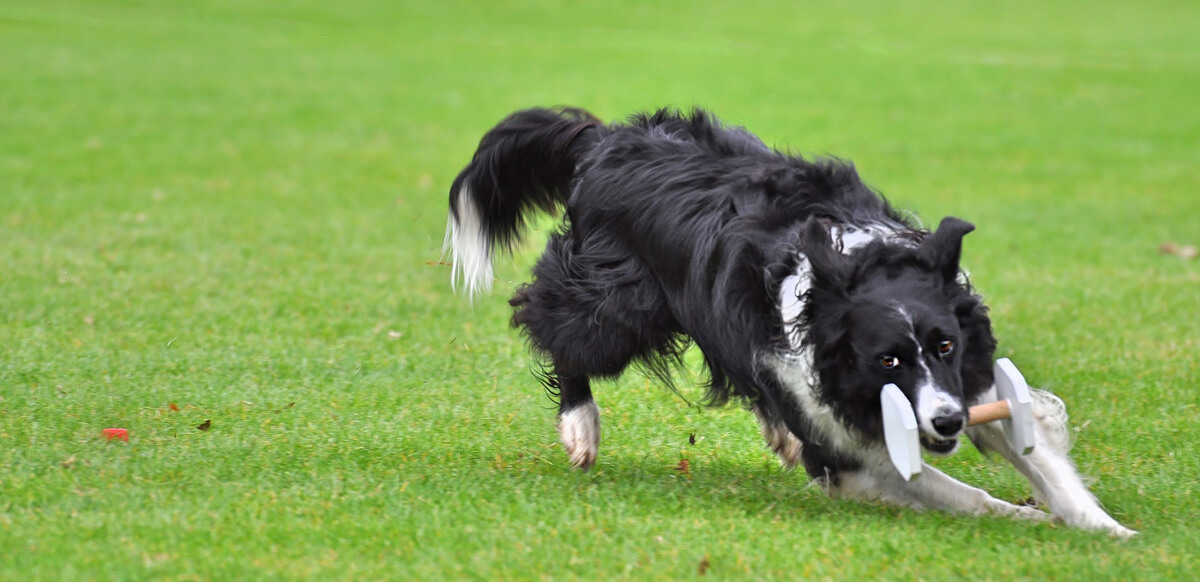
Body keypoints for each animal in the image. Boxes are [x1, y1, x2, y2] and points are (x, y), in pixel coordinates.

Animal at [444, 108, 1132, 535]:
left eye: (945, 345)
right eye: (886, 360)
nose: (945, 423)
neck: (850, 271)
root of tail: (603, 138)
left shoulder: (971, 377)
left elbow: (1036, 446)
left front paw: (1103, 529)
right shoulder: (855, 449)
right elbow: (945, 488)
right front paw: (1026, 519)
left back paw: (778, 430)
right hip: (619, 303)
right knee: (556, 327)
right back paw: (580, 426)